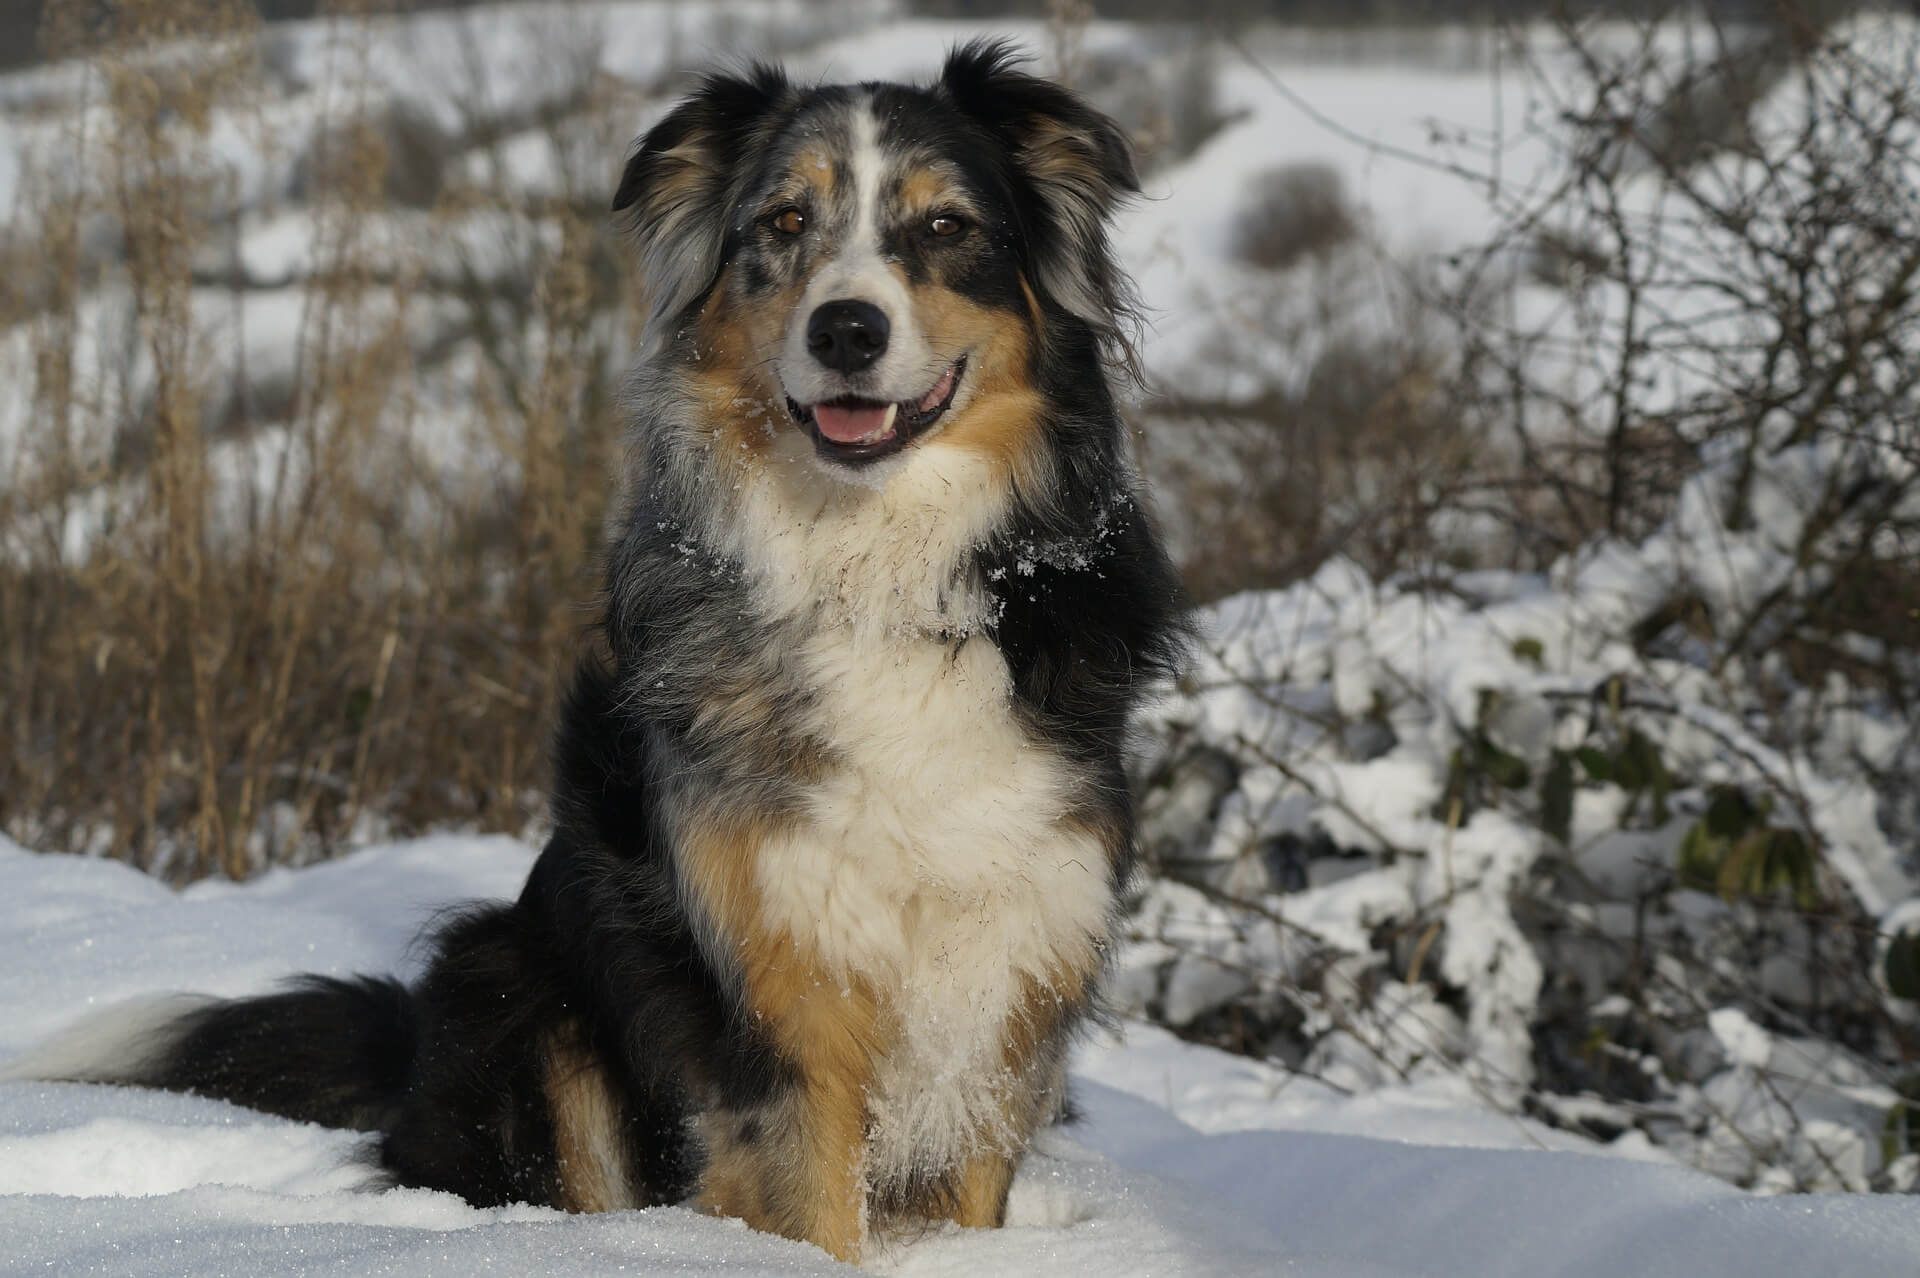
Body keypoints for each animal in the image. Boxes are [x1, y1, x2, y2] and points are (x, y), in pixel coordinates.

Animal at [7, 39, 1182, 1266]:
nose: (846, 330)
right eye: (782, 222)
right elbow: (807, 1202)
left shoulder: (1005, 982)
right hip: (519, 995)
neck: (878, 568)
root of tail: (413, 1043)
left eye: (948, 225)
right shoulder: (770, 988)